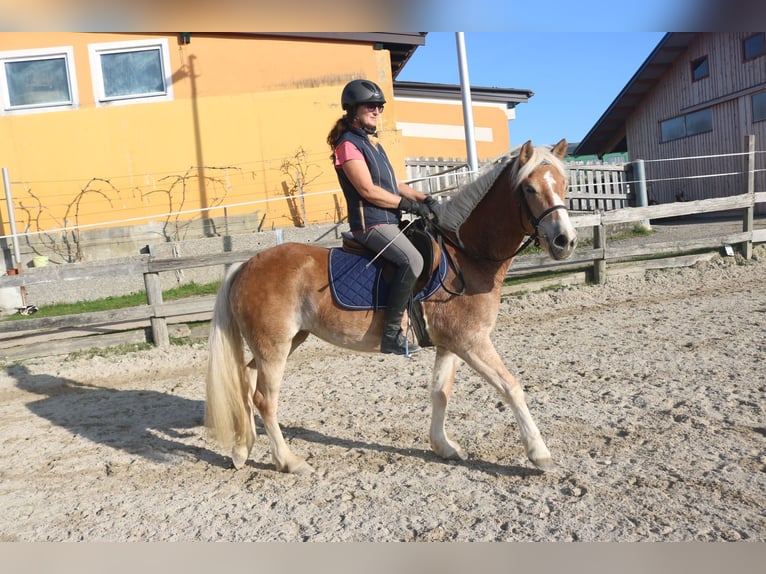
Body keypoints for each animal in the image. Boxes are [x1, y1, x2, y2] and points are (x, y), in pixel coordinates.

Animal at [204, 137, 576, 474]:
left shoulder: (451, 344)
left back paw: (241, 450)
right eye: (529, 189)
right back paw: (288, 461)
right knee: (265, 399)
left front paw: (443, 446)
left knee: (247, 381)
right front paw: (540, 455)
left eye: (564, 184)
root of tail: (245, 265)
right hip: (274, 346)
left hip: (286, 341)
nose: (565, 241)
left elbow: (440, 392)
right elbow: (511, 387)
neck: (465, 256)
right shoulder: (472, 341)